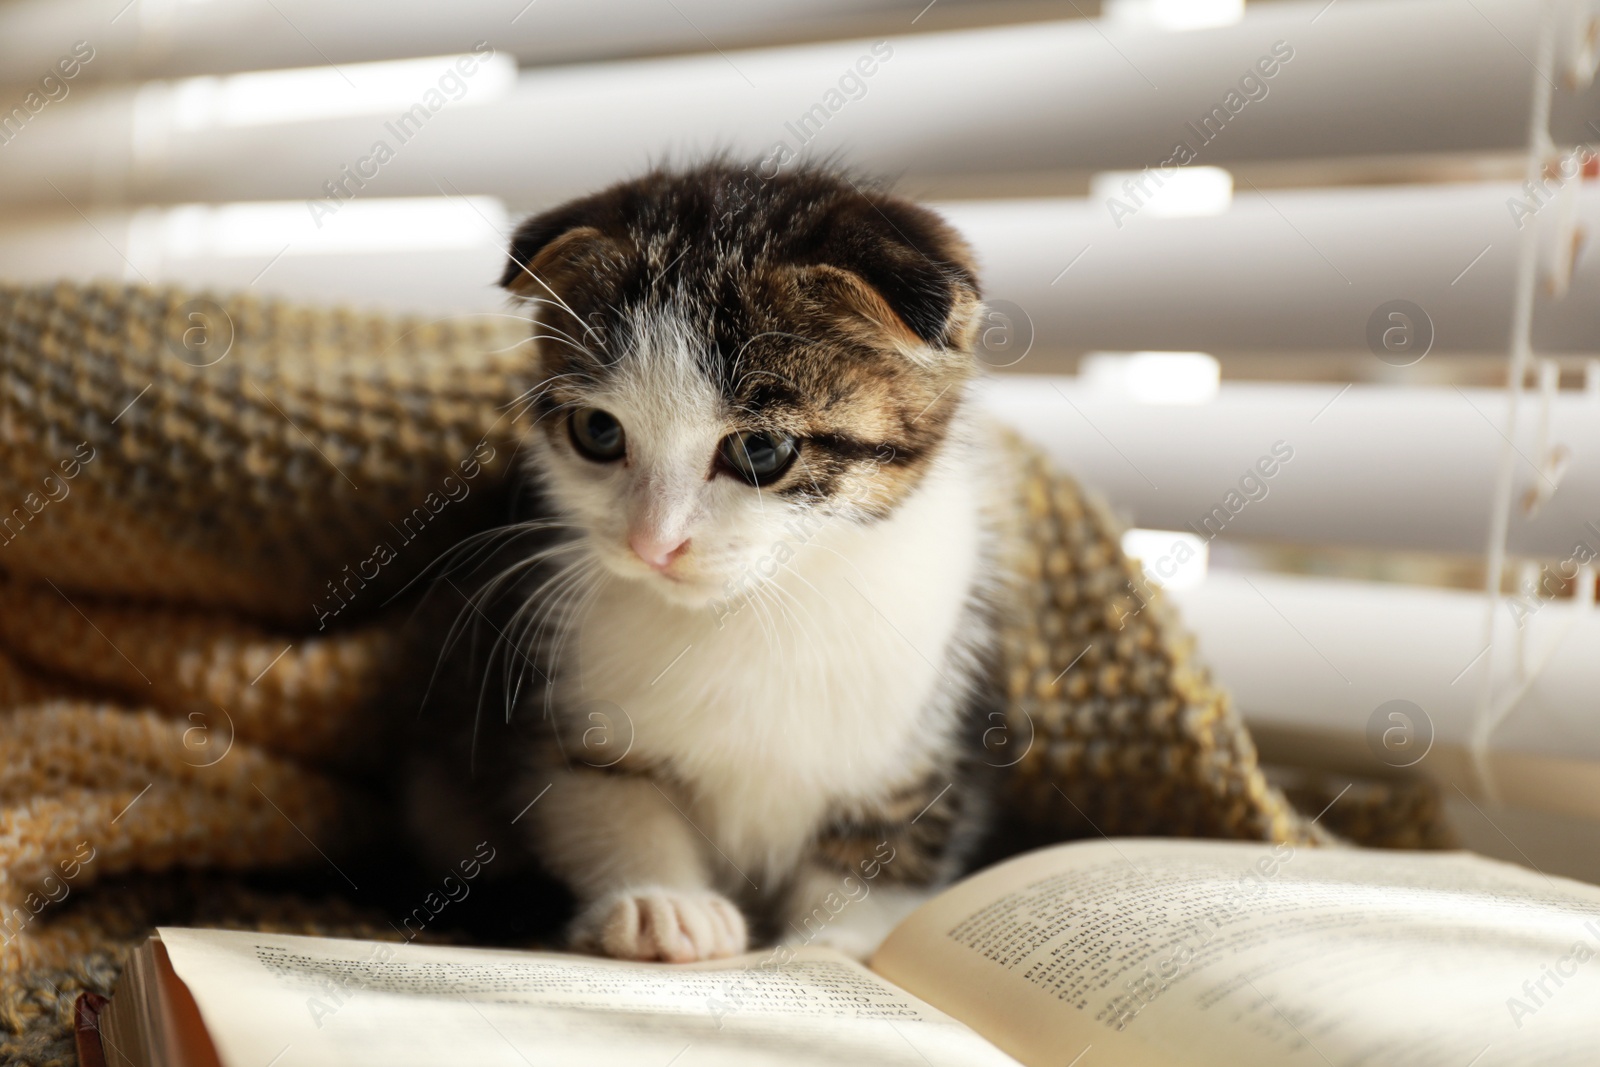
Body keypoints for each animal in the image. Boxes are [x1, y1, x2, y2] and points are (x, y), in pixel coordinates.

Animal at [416, 160, 1011, 966]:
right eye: (597, 432)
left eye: (760, 450)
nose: (652, 544)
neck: (754, 609)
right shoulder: (554, 693)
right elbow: (597, 792)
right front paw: (662, 901)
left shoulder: (928, 731)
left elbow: (887, 841)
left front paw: (833, 944)